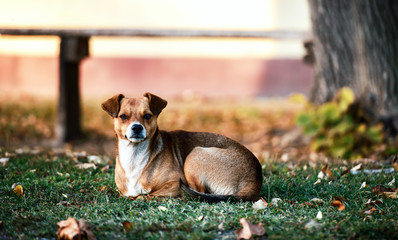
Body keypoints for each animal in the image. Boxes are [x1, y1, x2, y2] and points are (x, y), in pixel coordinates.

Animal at [101, 93, 262, 202]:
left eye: (147, 115)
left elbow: (145, 195)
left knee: (198, 194)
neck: (135, 155)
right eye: (123, 116)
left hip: (195, 154)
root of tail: (255, 179)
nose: (136, 128)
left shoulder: (174, 184)